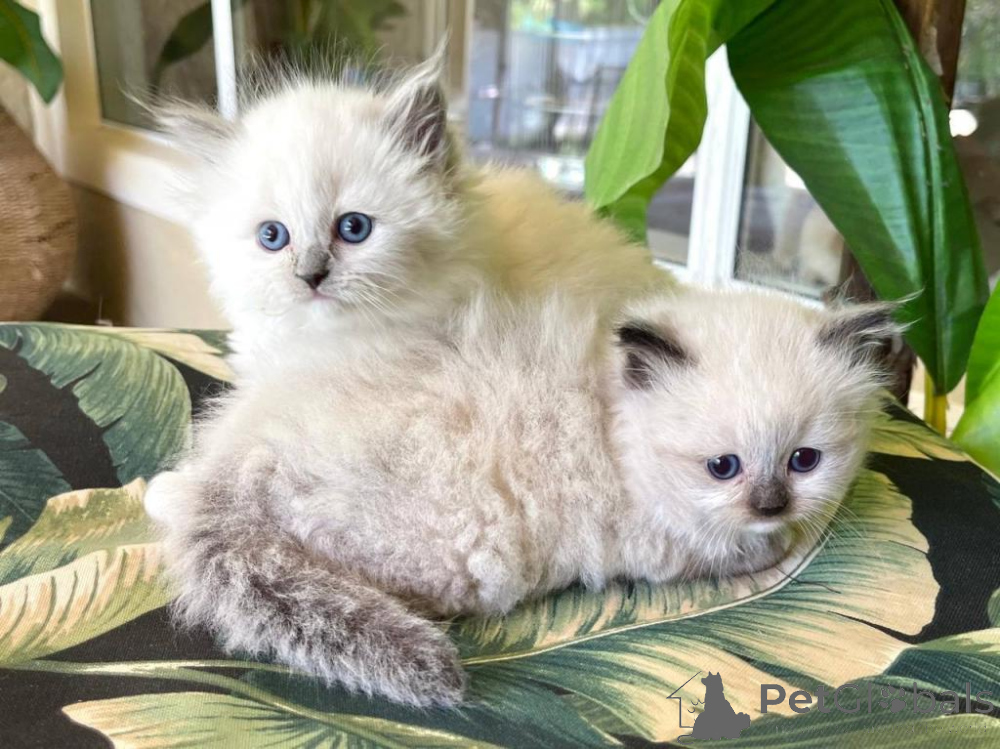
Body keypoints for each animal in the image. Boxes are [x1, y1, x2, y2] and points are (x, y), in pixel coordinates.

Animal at [151, 285, 898, 707]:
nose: (771, 504)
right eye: (723, 467)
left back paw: (162, 492)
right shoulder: (665, 545)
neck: (609, 418)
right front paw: (782, 542)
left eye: (805, 461)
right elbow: (746, 551)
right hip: (462, 551)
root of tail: (237, 474)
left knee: (176, 492)